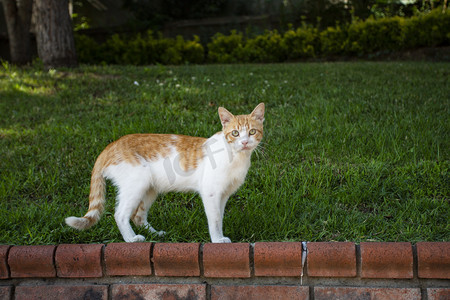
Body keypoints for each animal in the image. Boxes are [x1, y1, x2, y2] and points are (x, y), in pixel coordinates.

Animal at [66, 102, 264, 243]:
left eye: (252, 132)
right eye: (235, 133)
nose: (245, 142)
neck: (237, 157)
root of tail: (111, 144)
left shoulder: (223, 195)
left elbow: (219, 217)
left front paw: (220, 236)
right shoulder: (211, 192)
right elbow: (214, 220)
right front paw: (217, 240)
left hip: (150, 188)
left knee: (138, 216)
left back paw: (156, 234)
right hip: (136, 184)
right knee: (120, 214)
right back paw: (131, 238)